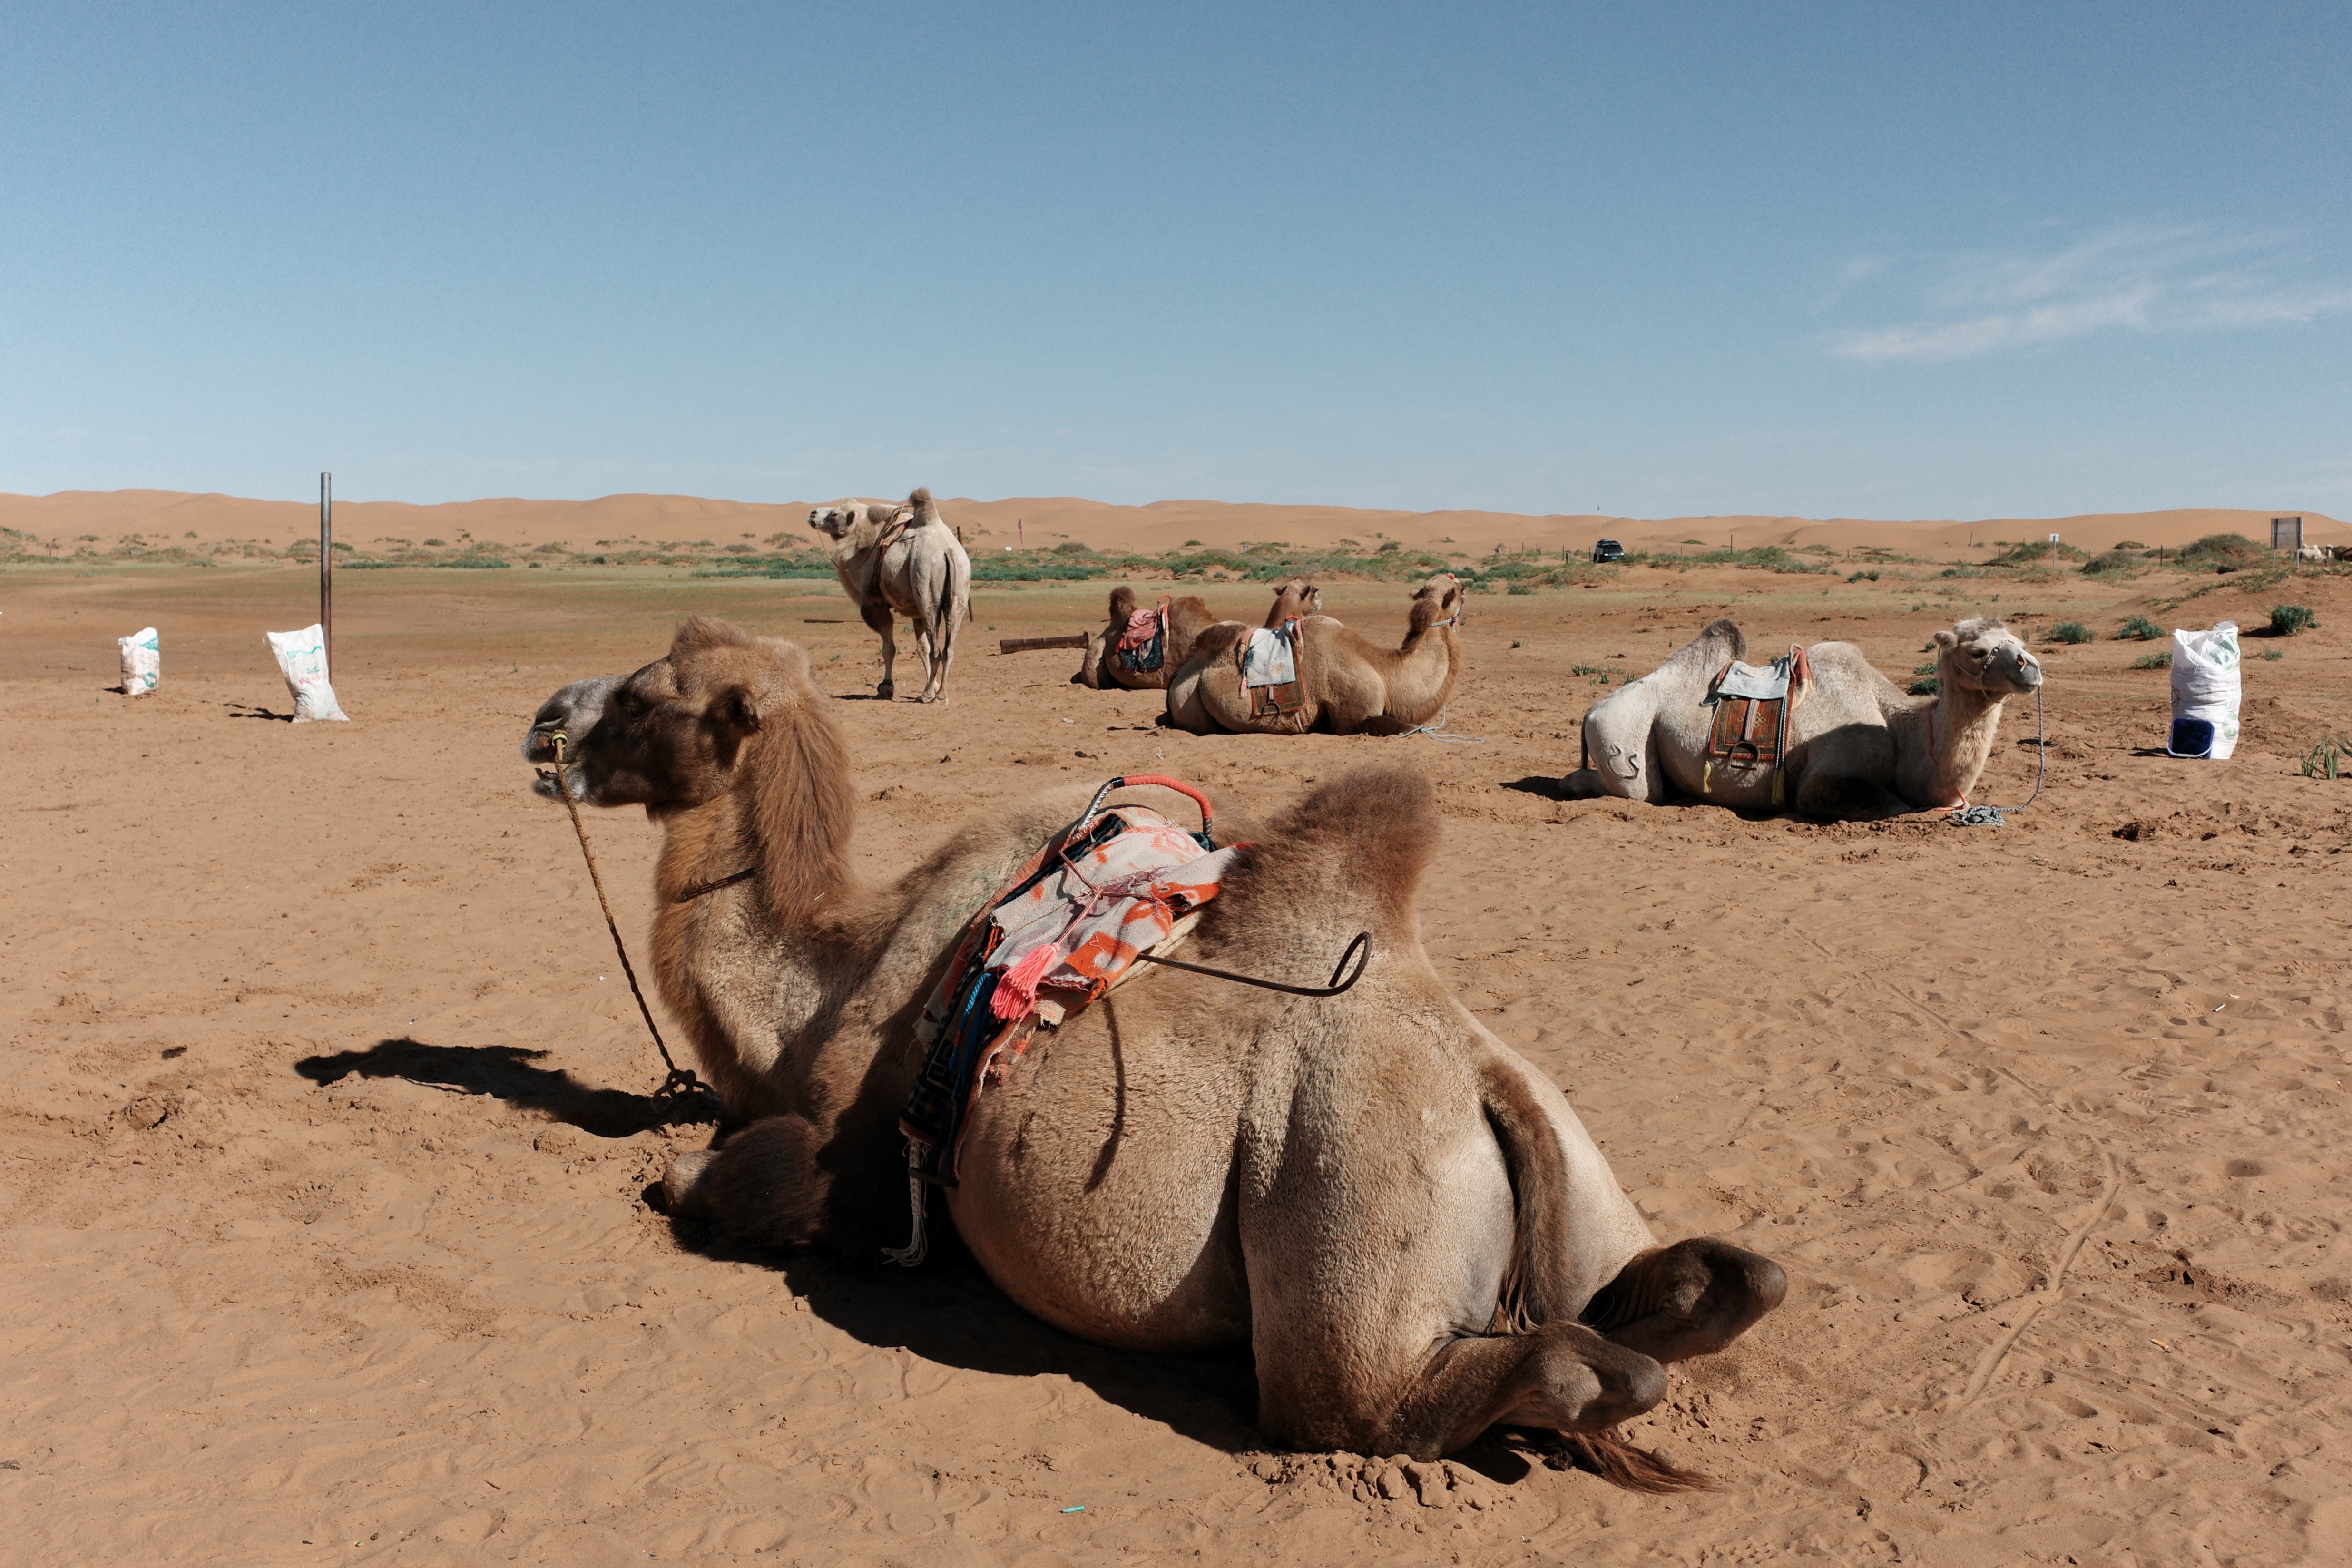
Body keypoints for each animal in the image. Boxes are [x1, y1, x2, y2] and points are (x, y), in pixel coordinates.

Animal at [539, 617, 1784, 1478]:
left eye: (645, 696)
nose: (547, 719)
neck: (823, 979)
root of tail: (1480, 1081)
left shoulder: (857, 1173)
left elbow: (698, 1177)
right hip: (1569, 1159)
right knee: (1715, 1277)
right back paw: (1693, 1292)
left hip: (1345, 1227)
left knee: (1398, 1395)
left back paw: (1589, 1373)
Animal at [808, 487, 972, 702]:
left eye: (834, 514)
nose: (813, 514)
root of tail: (948, 552)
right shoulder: (916, 611)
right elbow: (922, 648)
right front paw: (933, 683)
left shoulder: (875, 603)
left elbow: (889, 648)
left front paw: (886, 687)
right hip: (960, 591)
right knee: (948, 648)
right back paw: (941, 694)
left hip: (927, 583)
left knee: (937, 648)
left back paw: (927, 695)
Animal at [1163, 574, 1464, 736]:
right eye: (1460, 590)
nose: (1466, 585)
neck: (1384, 671)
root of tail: (1180, 673)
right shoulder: (1356, 716)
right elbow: (1409, 728)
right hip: (1190, 704)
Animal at [1559, 616, 2042, 820]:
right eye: (1979, 651)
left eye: (2019, 641)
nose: (2031, 668)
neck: (1902, 733)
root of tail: (1590, 710)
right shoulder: (1823, 779)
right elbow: (1895, 806)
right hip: (1621, 734)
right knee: (1635, 790)